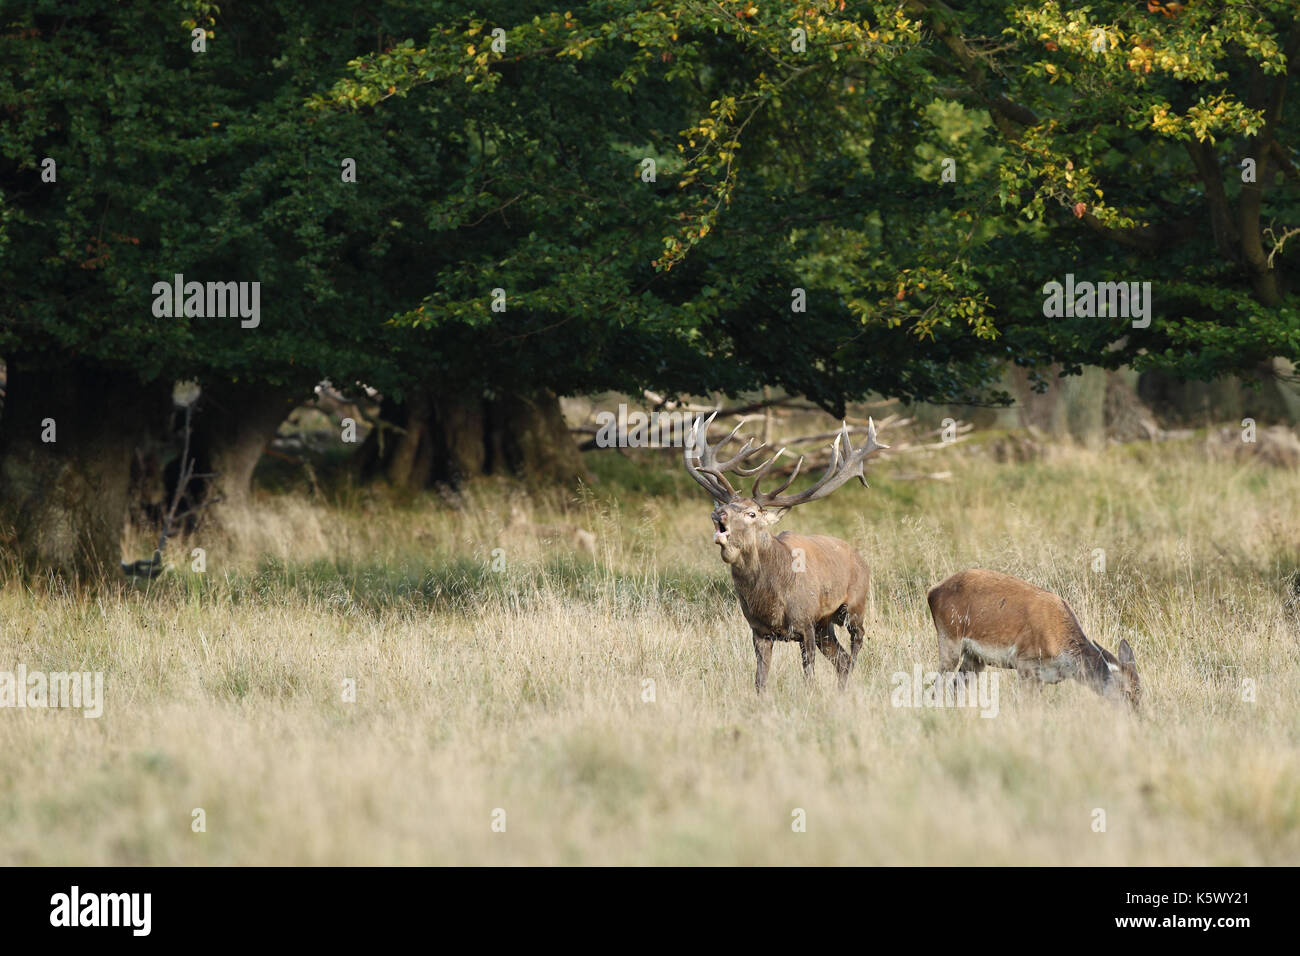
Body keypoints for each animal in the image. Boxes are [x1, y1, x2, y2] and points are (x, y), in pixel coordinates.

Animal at [684, 412, 887, 692]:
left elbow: (808, 676)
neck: (770, 599)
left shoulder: (805, 623)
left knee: (857, 643)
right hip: (825, 624)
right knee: (842, 658)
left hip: (854, 605)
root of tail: (860, 558)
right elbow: (760, 680)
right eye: (724, 505)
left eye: (752, 514)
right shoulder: (759, 630)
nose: (718, 514)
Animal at [926, 568, 1141, 709]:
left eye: (1141, 691)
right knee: (938, 685)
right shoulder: (1025, 662)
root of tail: (932, 592)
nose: (1136, 717)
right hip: (949, 639)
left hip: (974, 658)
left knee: (956, 686)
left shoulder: (1042, 678)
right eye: (1127, 692)